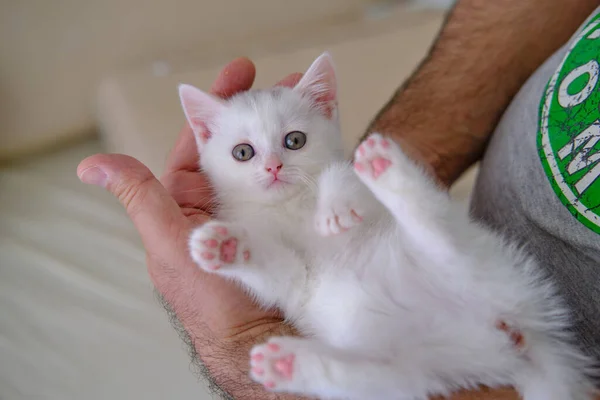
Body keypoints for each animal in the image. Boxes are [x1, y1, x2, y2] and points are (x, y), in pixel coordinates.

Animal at [178, 54, 596, 400]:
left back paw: (383, 167)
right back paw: (287, 364)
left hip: (475, 253)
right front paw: (225, 247)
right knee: (376, 379)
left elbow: (341, 176)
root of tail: (521, 334)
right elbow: (281, 273)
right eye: (243, 152)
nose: (274, 167)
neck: (291, 206)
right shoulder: (296, 282)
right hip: (423, 370)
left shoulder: (359, 196)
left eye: (294, 140)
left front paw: (335, 207)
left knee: (438, 231)